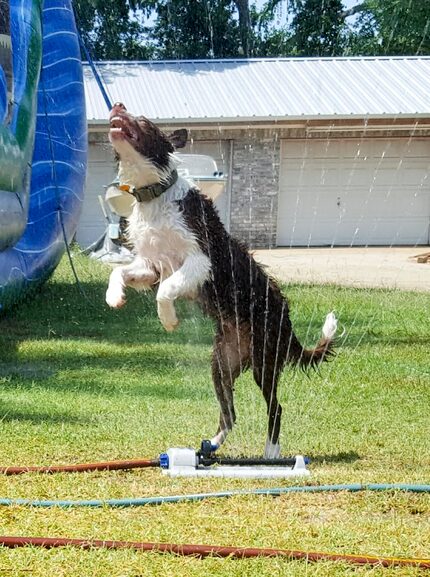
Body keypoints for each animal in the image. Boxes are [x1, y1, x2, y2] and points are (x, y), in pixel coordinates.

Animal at [105, 101, 336, 456]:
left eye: (142, 120)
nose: (117, 105)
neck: (155, 196)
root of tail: (288, 318)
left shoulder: (200, 261)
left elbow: (166, 291)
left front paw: (169, 320)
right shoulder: (151, 264)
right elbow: (120, 271)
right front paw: (114, 297)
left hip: (266, 360)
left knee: (276, 407)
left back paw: (271, 452)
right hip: (222, 363)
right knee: (230, 411)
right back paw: (211, 444)